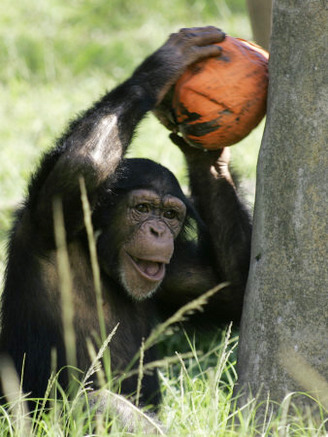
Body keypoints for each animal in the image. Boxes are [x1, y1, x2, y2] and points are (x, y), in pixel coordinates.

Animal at [0, 28, 251, 412]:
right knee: (102, 402)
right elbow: (81, 164)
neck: (99, 258)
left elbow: (233, 289)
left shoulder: (177, 272)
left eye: (170, 214)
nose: (158, 230)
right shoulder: (48, 218)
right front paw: (161, 67)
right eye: (143, 209)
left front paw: (204, 154)